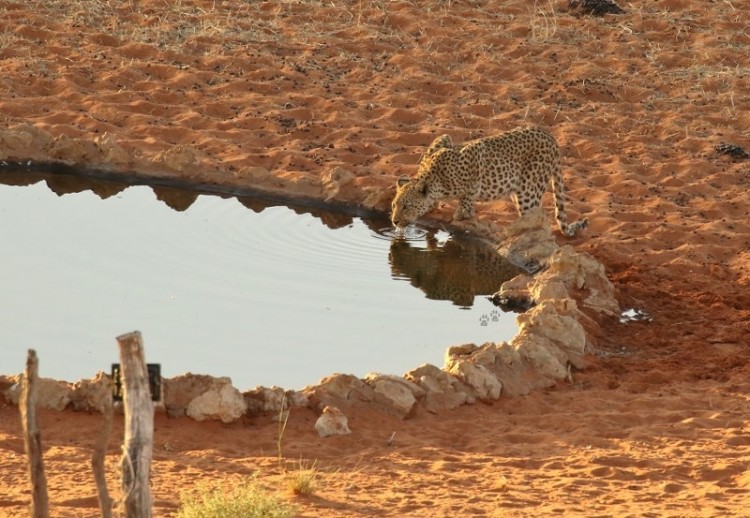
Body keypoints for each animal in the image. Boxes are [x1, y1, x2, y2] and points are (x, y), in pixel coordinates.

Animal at [390, 127, 592, 239]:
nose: (394, 221)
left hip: (528, 191)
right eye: (394, 205)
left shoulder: (474, 154)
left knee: (536, 216)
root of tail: (550, 136)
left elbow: (469, 192)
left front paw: (463, 212)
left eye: (407, 206)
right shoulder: (443, 138)